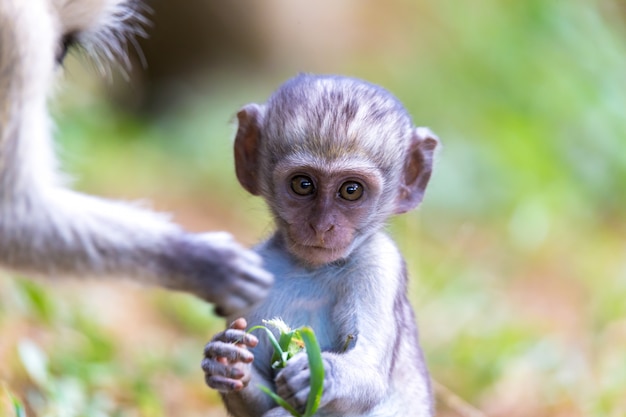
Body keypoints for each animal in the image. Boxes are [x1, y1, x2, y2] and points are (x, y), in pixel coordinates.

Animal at [202, 75, 436, 416]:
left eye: (351, 190)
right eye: (303, 184)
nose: (321, 226)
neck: (312, 270)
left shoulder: (380, 263)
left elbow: (369, 377)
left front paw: (320, 375)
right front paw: (226, 362)